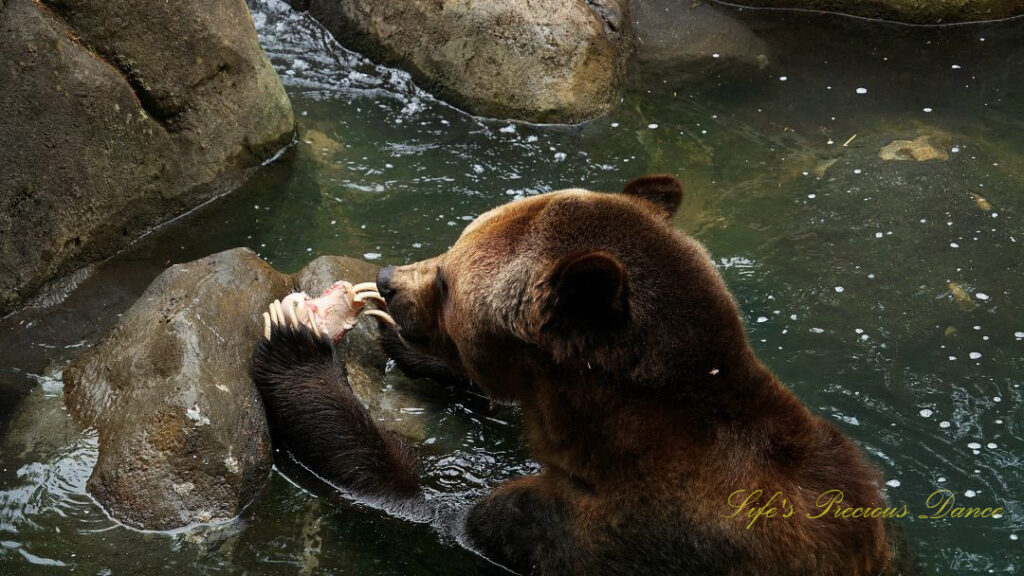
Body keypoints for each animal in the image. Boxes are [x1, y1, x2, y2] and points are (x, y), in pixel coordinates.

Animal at [251, 175, 892, 573]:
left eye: (448, 280)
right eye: (454, 244)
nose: (387, 281)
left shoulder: (608, 529)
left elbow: (422, 509)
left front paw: (296, 341)